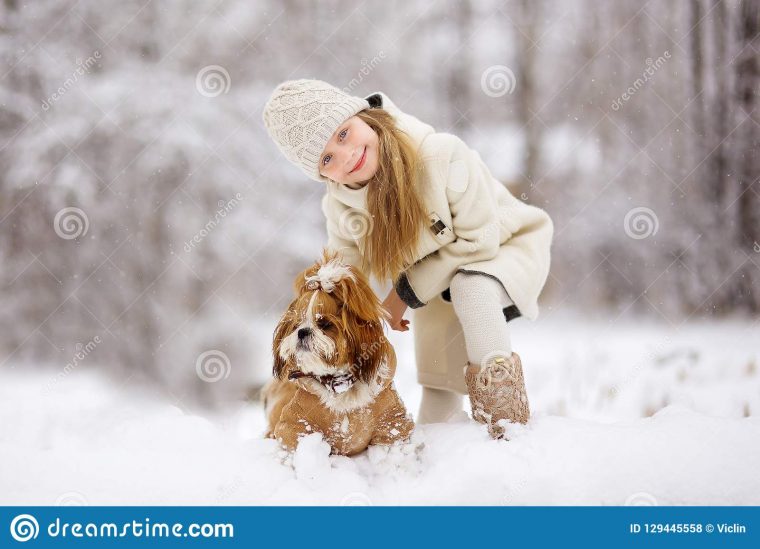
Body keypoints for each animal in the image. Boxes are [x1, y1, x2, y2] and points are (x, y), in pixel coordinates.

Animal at [262, 248, 416, 454]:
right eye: (296, 325)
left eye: (325, 324)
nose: (302, 332)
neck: (338, 382)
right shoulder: (297, 422)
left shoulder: (391, 421)